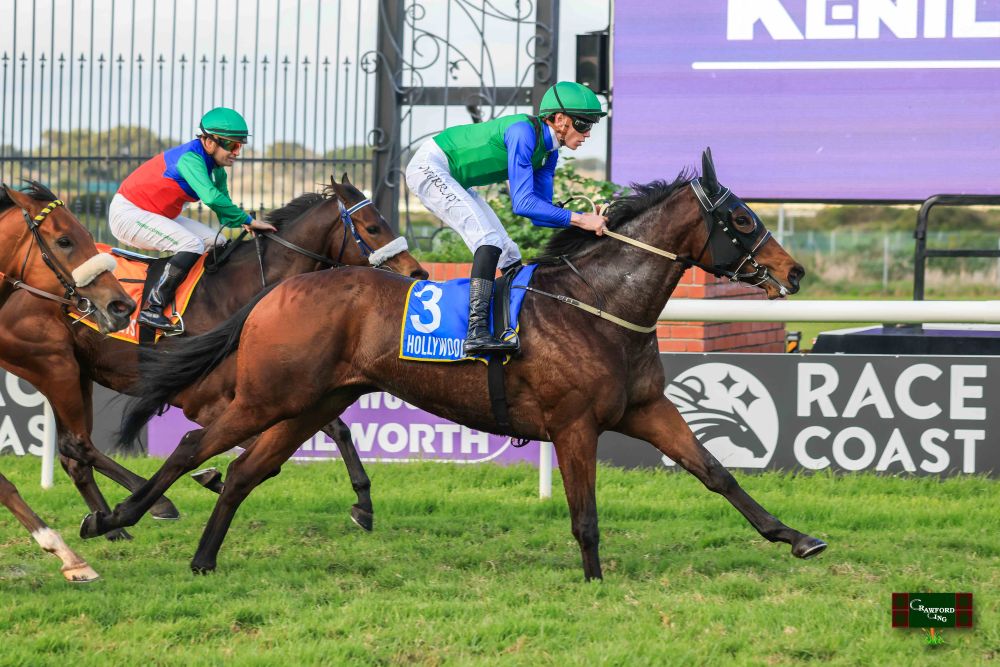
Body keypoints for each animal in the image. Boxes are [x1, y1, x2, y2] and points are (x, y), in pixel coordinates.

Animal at [7, 175, 427, 544]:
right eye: (372, 226)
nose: (418, 271)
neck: (236, 290)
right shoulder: (207, 400)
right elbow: (258, 453)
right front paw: (211, 477)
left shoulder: (279, 389)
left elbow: (336, 429)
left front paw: (363, 504)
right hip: (53, 364)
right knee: (77, 446)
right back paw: (154, 505)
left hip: (79, 372)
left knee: (74, 454)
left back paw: (113, 526)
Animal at [90, 150, 827, 579]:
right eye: (741, 218)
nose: (795, 272)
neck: (597, 304)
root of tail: (276, 292)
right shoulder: (574, 424)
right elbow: (585, 513)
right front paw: (594, 580)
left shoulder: (644, 408)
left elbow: (717, 472)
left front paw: (795, 537)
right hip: (266, 395)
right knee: (194, 446)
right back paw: (117, 516)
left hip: (313, 402)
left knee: (246, 471)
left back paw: (204, 557)